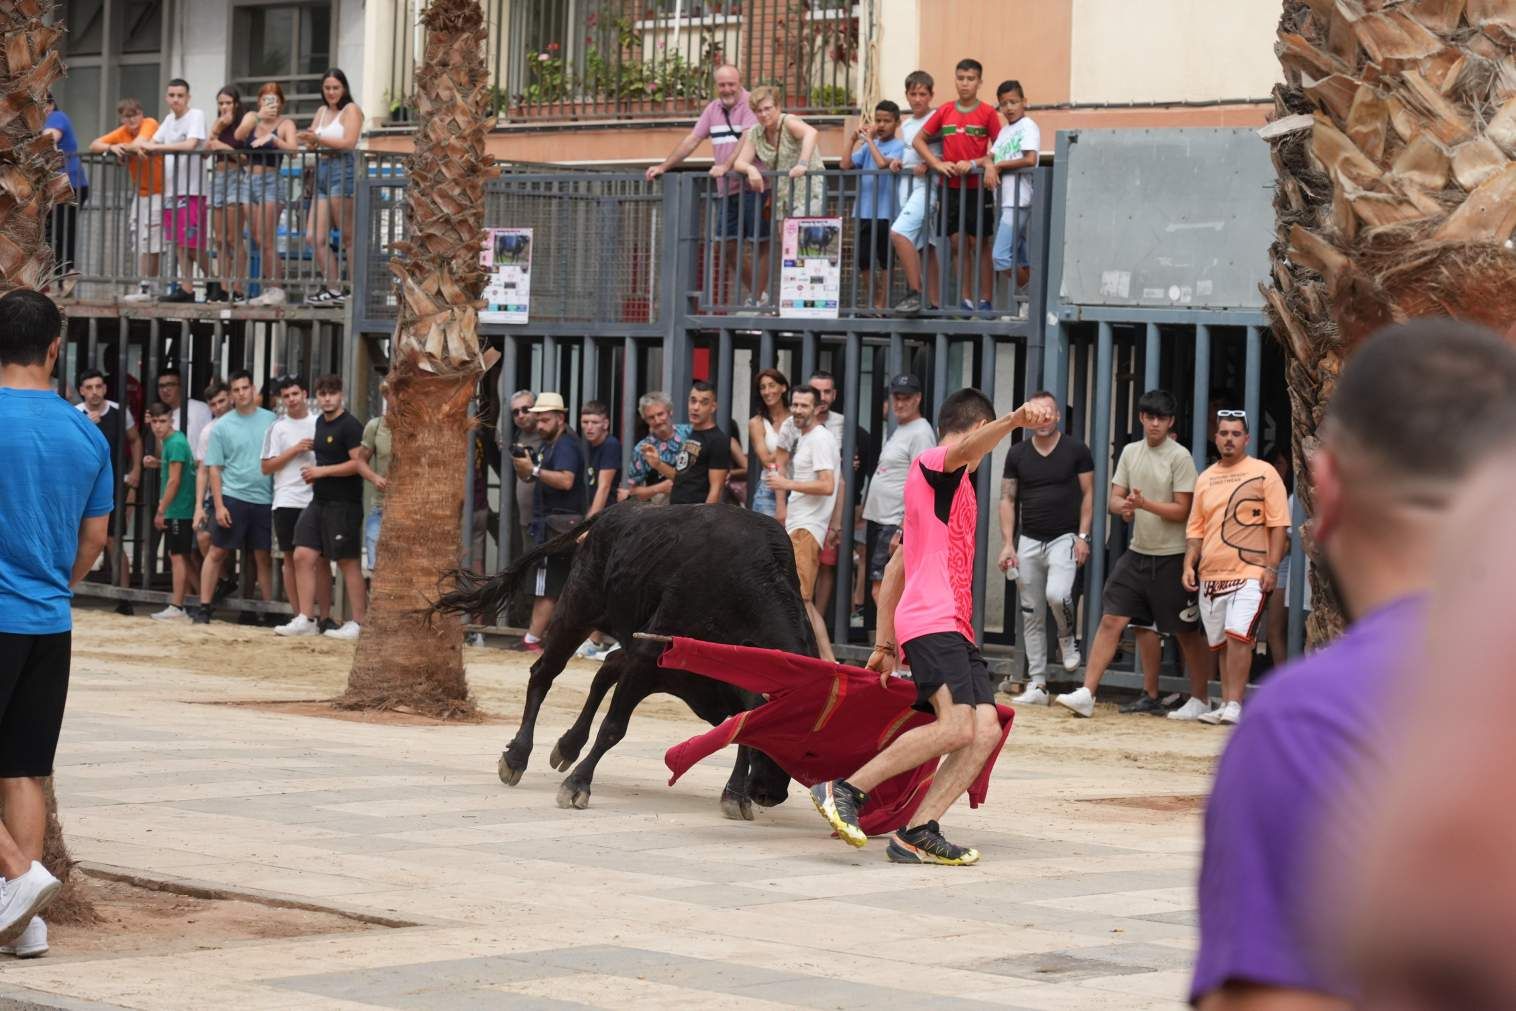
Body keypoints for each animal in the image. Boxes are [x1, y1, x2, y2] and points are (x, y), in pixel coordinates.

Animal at [433, 506, 824, 824]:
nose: (770, 794)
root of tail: (615, 511)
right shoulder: (648, 659)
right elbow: (614, 727)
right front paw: (577, 785)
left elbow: (739, 729)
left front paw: (735, 795)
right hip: (576, 612)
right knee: (544, 673)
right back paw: (516, 757)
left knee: (605, 667)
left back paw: (568, 745)